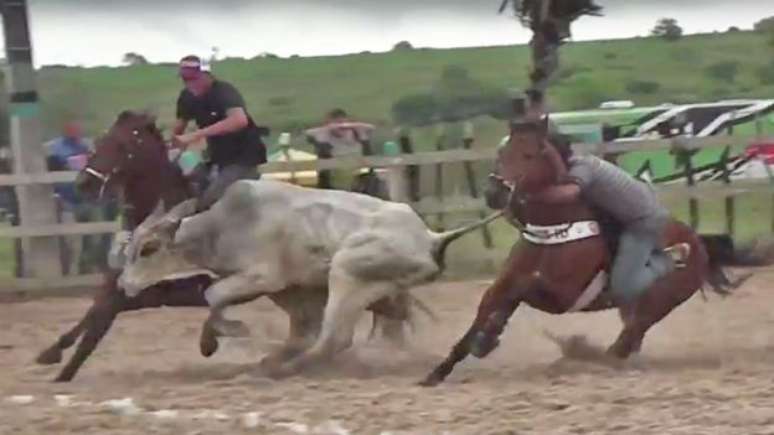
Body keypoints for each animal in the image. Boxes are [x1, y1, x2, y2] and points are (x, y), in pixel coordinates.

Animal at [36, 111, 422, 382]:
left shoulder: (184, 287)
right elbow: (97, 309)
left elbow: (110, 311)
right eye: (100, 140)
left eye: (120, 145)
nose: (83, 184)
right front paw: (54, 354)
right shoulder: (121, 279)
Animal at [117, 179, 500, 376]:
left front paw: (220, 337)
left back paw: (281, 370)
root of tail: (431, 237)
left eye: (147, 249)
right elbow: (300, 328)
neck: (222, 226)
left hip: (345, 271)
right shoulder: (291, 288)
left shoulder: (263, 277)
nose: (123, 284)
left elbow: (213, 295)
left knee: (335, 339)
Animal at [422, 117, 748, 386]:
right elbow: (481, 317)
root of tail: (699, 243)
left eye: (528, 155)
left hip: (656, 304)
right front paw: (438, 372)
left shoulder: (561, 296)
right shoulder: (501, 285)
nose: (495, 193)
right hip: (632, 306)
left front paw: (489, 336)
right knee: (630, 340)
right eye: (501, 153)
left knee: (627, 338)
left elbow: (518, 294)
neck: (554, 233)